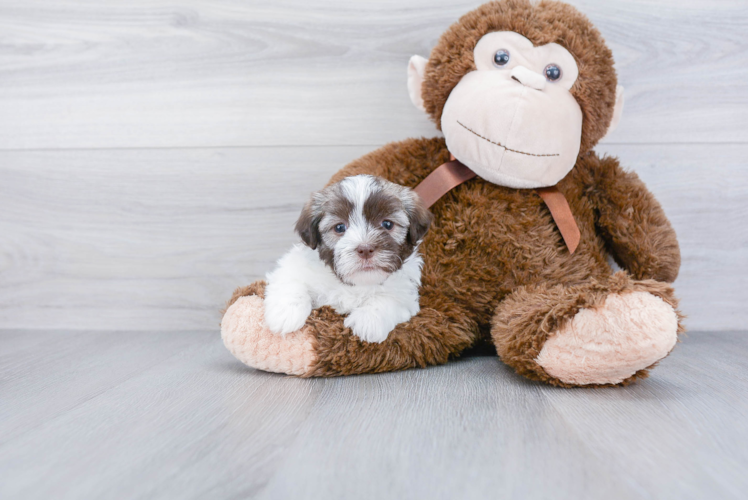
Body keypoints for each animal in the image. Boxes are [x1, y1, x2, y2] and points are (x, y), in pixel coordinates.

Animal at [266, 174, 436, 342]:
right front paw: (285, 313)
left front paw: (368, 320)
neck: (355, 284)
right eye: (340, 227)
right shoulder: (293, 265)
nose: (365, 249)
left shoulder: (406, 295)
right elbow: (291, 281)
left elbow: (390, 299)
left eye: (387, 224)